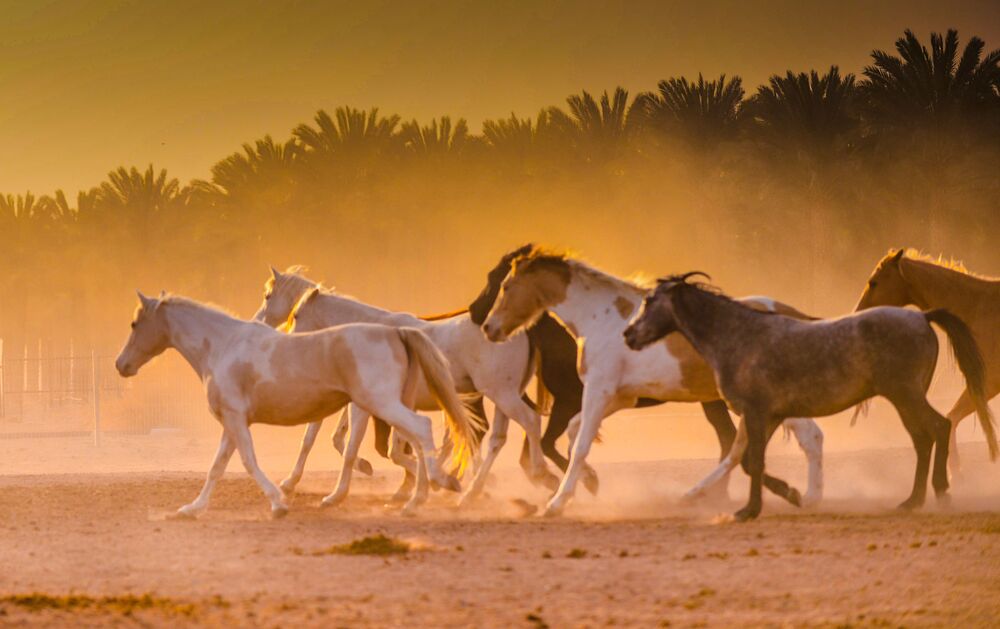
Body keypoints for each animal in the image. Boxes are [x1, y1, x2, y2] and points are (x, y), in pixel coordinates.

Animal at [115, 291, 483, 517]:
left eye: (134, 323)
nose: (121, 365)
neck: (223, 346)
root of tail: (397, 332)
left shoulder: (234, 418)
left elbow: (247, 462)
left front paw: (278, 503)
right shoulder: (232, 422)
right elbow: (217, 466)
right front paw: (192, 509)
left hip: (384, 405)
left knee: (423, 431)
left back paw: (439, 485)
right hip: (389, 407)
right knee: (417, 444)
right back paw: (416, 499)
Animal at [254, 267, 559, 507]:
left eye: (295, 314)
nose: (264, 326)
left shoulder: (369, 405)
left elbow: (360, 447)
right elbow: (351, 443)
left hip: (502, 395)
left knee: (528, 422)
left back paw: (540, 475)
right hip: (501, 396)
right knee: (495, 438)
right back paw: (473, 490)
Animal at [480, 250, 824, 517]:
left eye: (505, 285)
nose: (488, 327)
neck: (601, 318)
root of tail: (795, 316)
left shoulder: (598, 391)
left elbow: (579, 444)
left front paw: (557, 502)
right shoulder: (618, 397)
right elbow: (575, 433)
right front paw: (587, 483)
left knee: (806, 438)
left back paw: (805, 496)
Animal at [624, 273, 998, 521]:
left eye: (649, 301)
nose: (628, 334)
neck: (739, 337)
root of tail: (921, 315)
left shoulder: (755, 413)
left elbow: (752, 461)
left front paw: (750, 510)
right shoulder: (767, 416)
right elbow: (748, 460)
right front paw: (776, 499)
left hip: (906, 394)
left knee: (939, 428)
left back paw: (940, 493)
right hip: (904, 397)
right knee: (923, 438)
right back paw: (913, 500)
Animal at [856, 248, 1000, 475]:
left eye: (874, 282)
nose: (858, 311)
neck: (976, 307)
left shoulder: (989, 383)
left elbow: (952, 417)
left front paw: (955, 470)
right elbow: (952, 417)